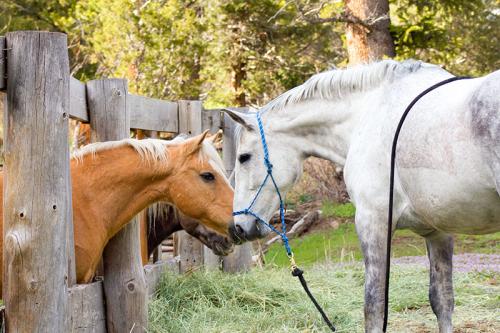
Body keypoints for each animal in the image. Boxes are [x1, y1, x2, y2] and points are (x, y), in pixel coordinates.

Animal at [228, 60, 500, 332]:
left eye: (244, 157)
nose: (238, 227)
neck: (368, 114)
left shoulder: (372, 221)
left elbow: (374, 306)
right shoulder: (437, 231)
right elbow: (442, 300)